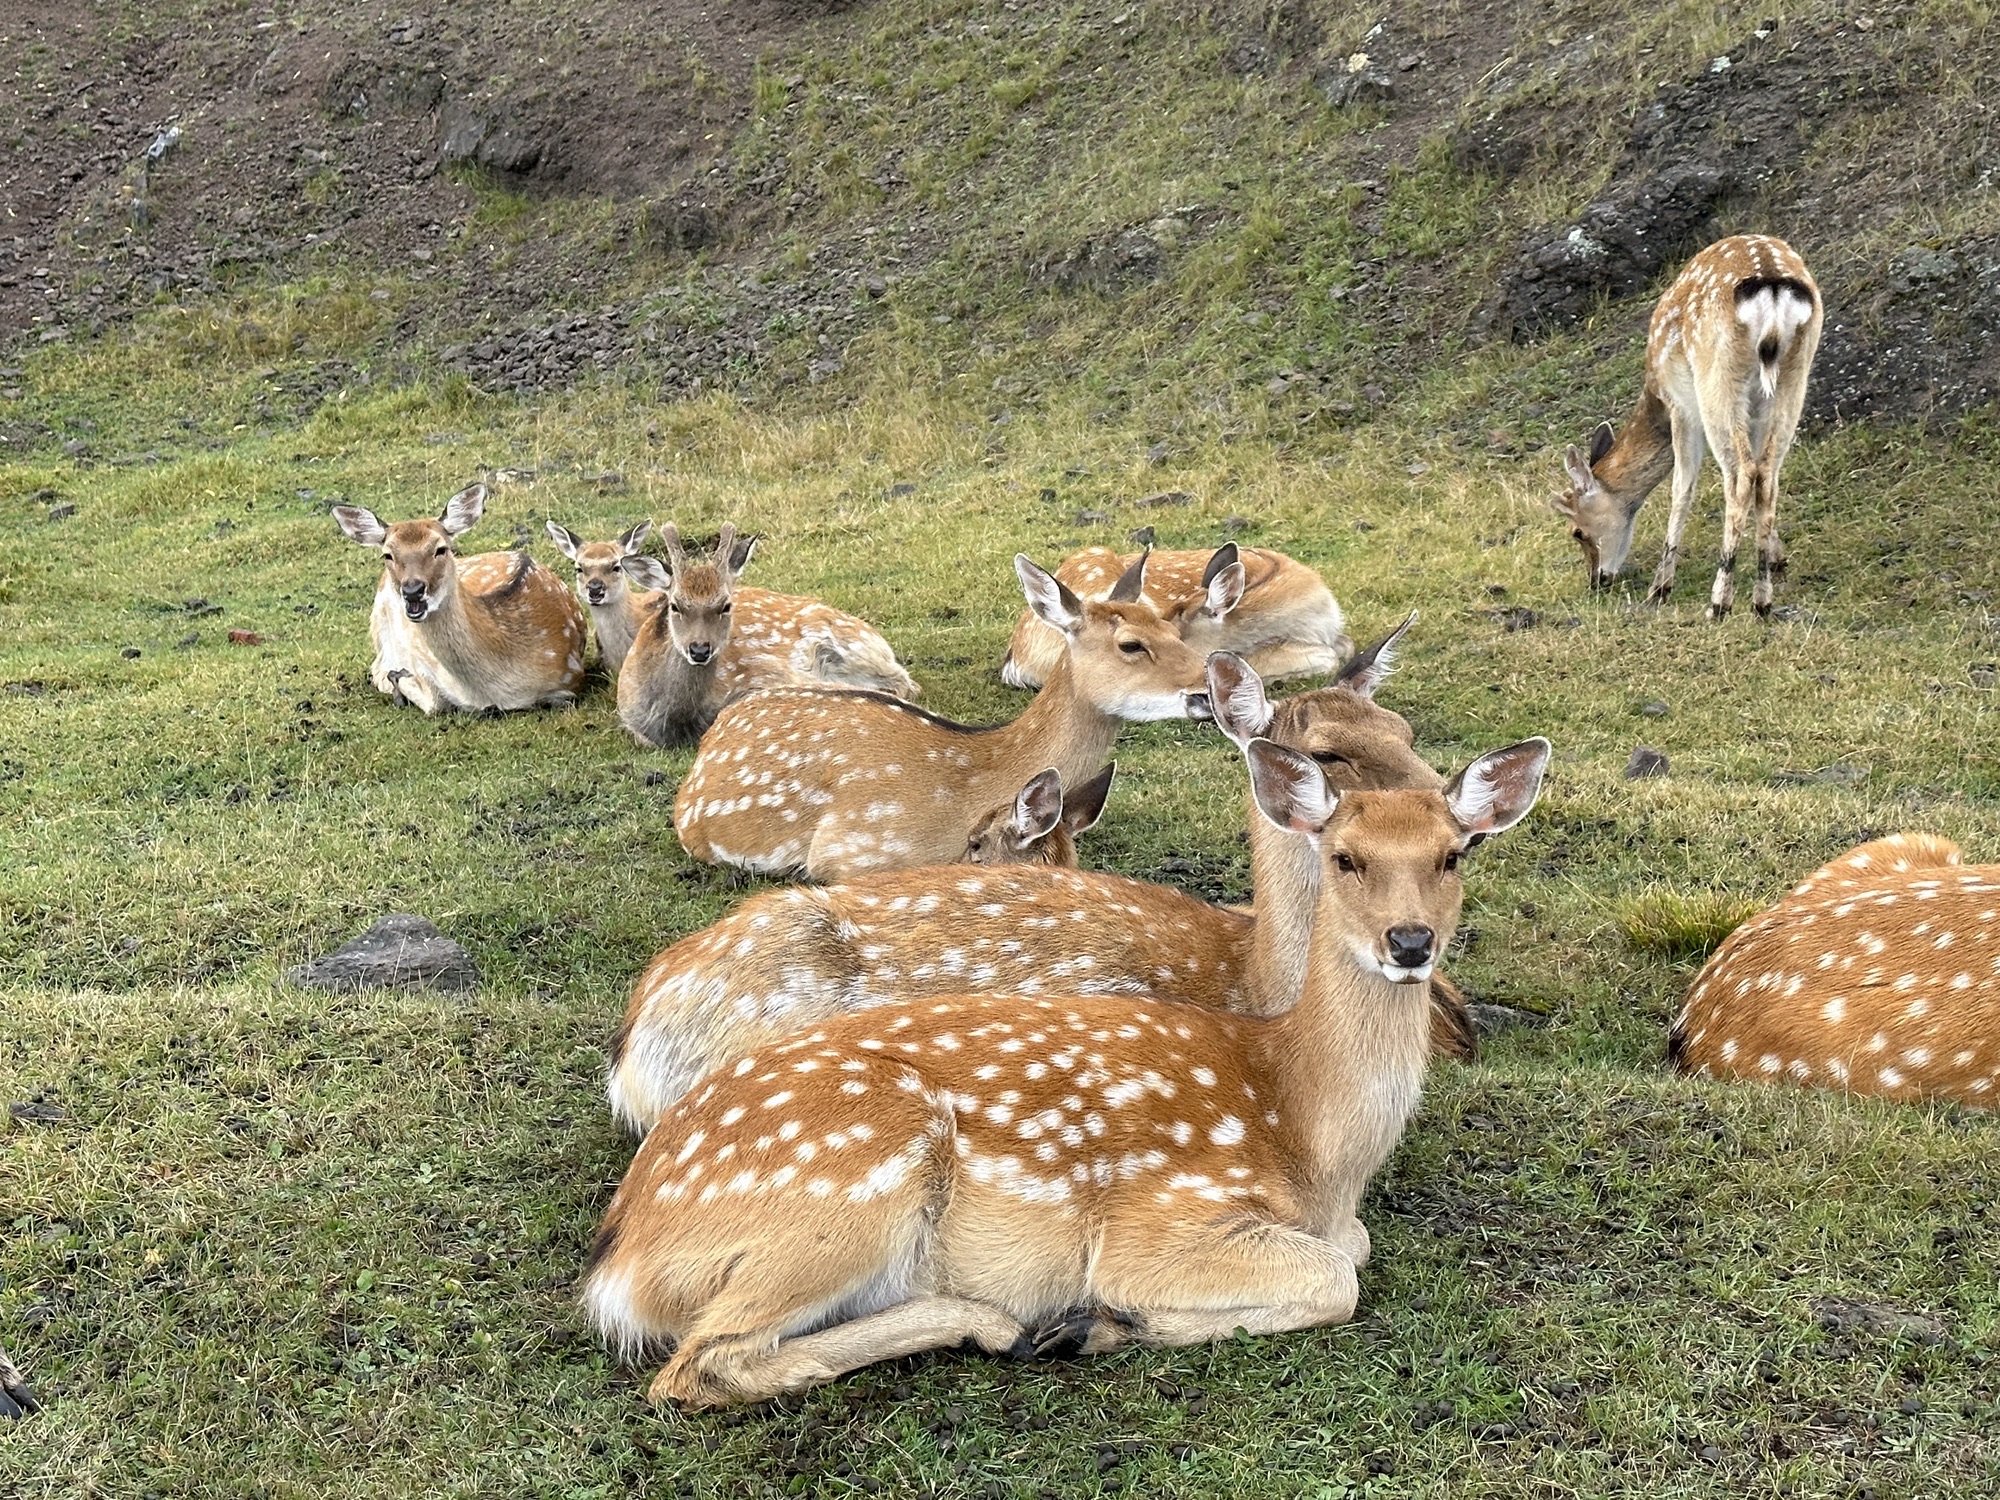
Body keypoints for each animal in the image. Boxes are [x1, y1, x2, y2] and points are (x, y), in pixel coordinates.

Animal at [331, 483, 586, 714]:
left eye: (441, 549)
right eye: (387, 554)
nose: (412, 590)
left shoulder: (568, 678)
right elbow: (435, 703)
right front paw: (399, 680)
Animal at [1553, 233, 1822, 619]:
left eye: (1577, 531)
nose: (1596, 580)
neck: (1654, 394)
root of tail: (1772, 288)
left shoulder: (1680, 403)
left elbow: (1682, 487)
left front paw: (1661, 586)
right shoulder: (1756, 413)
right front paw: (1778, 557)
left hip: (1715, 379)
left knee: (1741, 475)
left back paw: (1719, 601)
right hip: (1793, 377)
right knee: (1767, 473)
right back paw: (1762, 600)